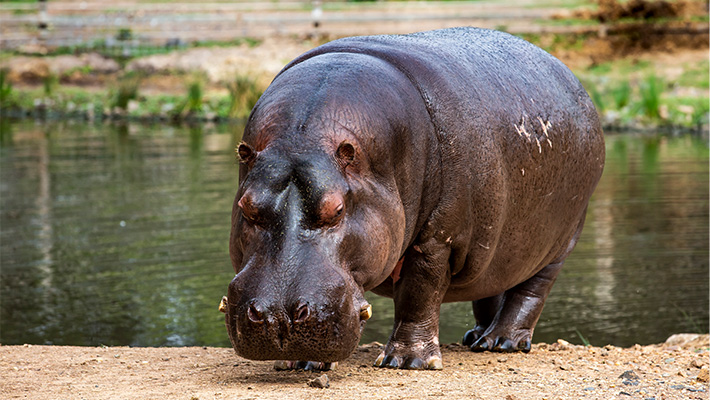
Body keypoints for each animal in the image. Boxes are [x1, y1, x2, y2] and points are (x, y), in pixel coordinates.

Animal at [221, 27, 605, 370]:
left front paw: (408, 361)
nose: (279, 316)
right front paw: (302, 363)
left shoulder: (438, 240)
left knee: (532, 289)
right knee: (490, 282)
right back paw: (477, 338)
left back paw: (503, 342)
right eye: (245, 207)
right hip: (496, 244)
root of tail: (573, 80)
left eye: (337, 209)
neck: (304, 140)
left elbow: (418, 295)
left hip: (561, 239)